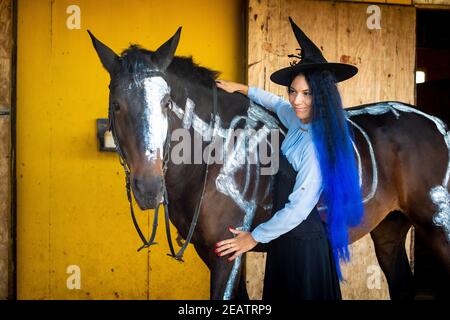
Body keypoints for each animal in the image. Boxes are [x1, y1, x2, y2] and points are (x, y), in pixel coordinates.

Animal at [89, 27, 450, 300]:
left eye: (165, 102)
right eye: (116, 105)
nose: (149, 188)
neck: (214, 154)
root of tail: (437, 123)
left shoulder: (227, 253)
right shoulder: (212, 251)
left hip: (439, 227)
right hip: (389, 230)